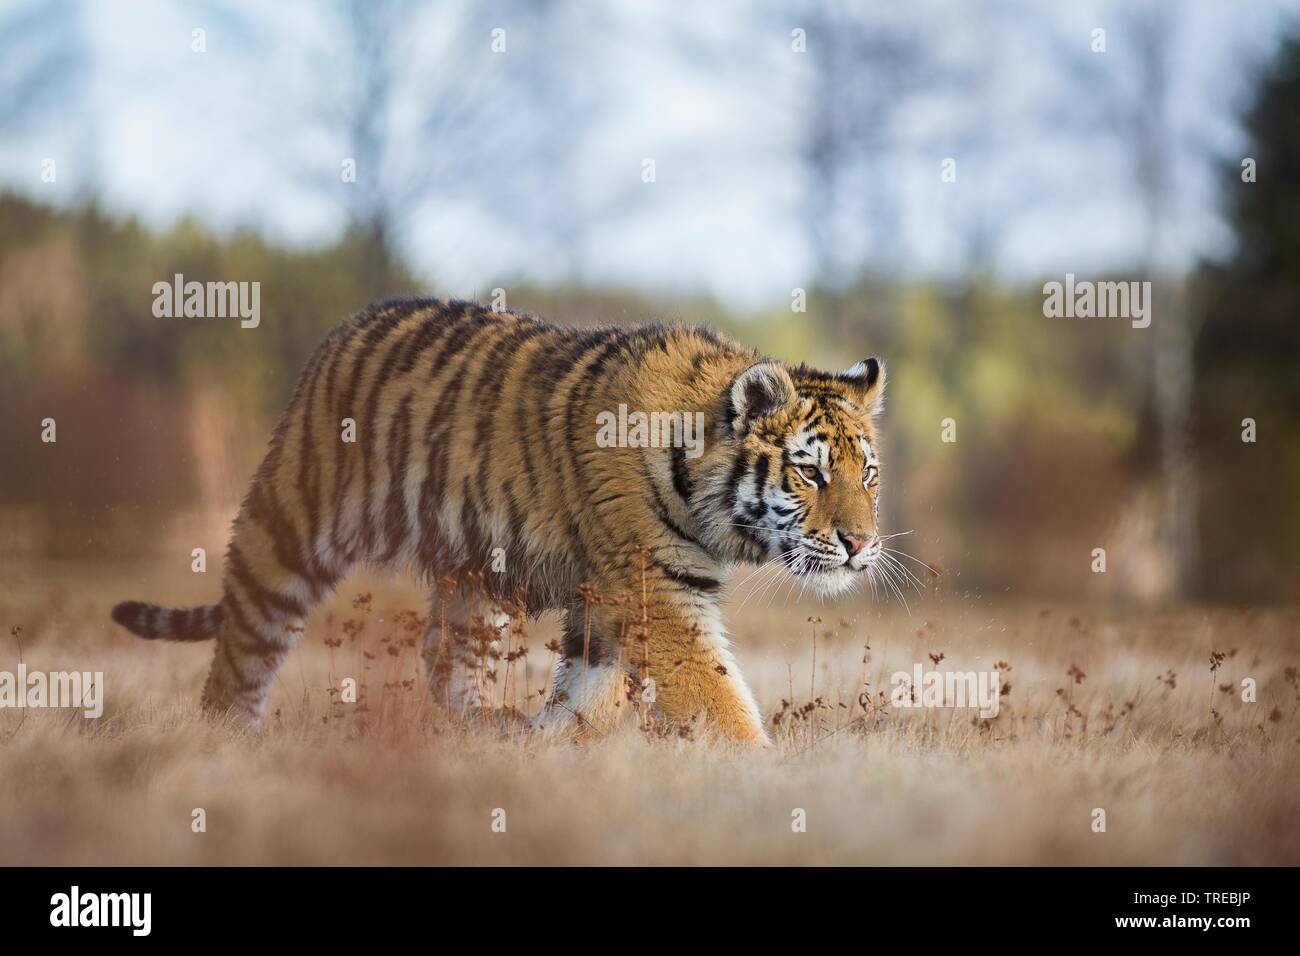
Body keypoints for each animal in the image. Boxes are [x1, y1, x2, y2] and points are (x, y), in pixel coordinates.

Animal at [111, 295, 889, 743]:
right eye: (811, 471)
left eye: (868, 475)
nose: (860, 543)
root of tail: (345, 327)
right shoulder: (657, 592)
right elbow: (714, 692)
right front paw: (759, 774)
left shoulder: (609, 596)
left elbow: (591, 686)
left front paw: (554, 738)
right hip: (291, 525)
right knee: (243, 646)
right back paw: (226, 744)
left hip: (477, 575)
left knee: (441, 655)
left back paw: (484, 727)